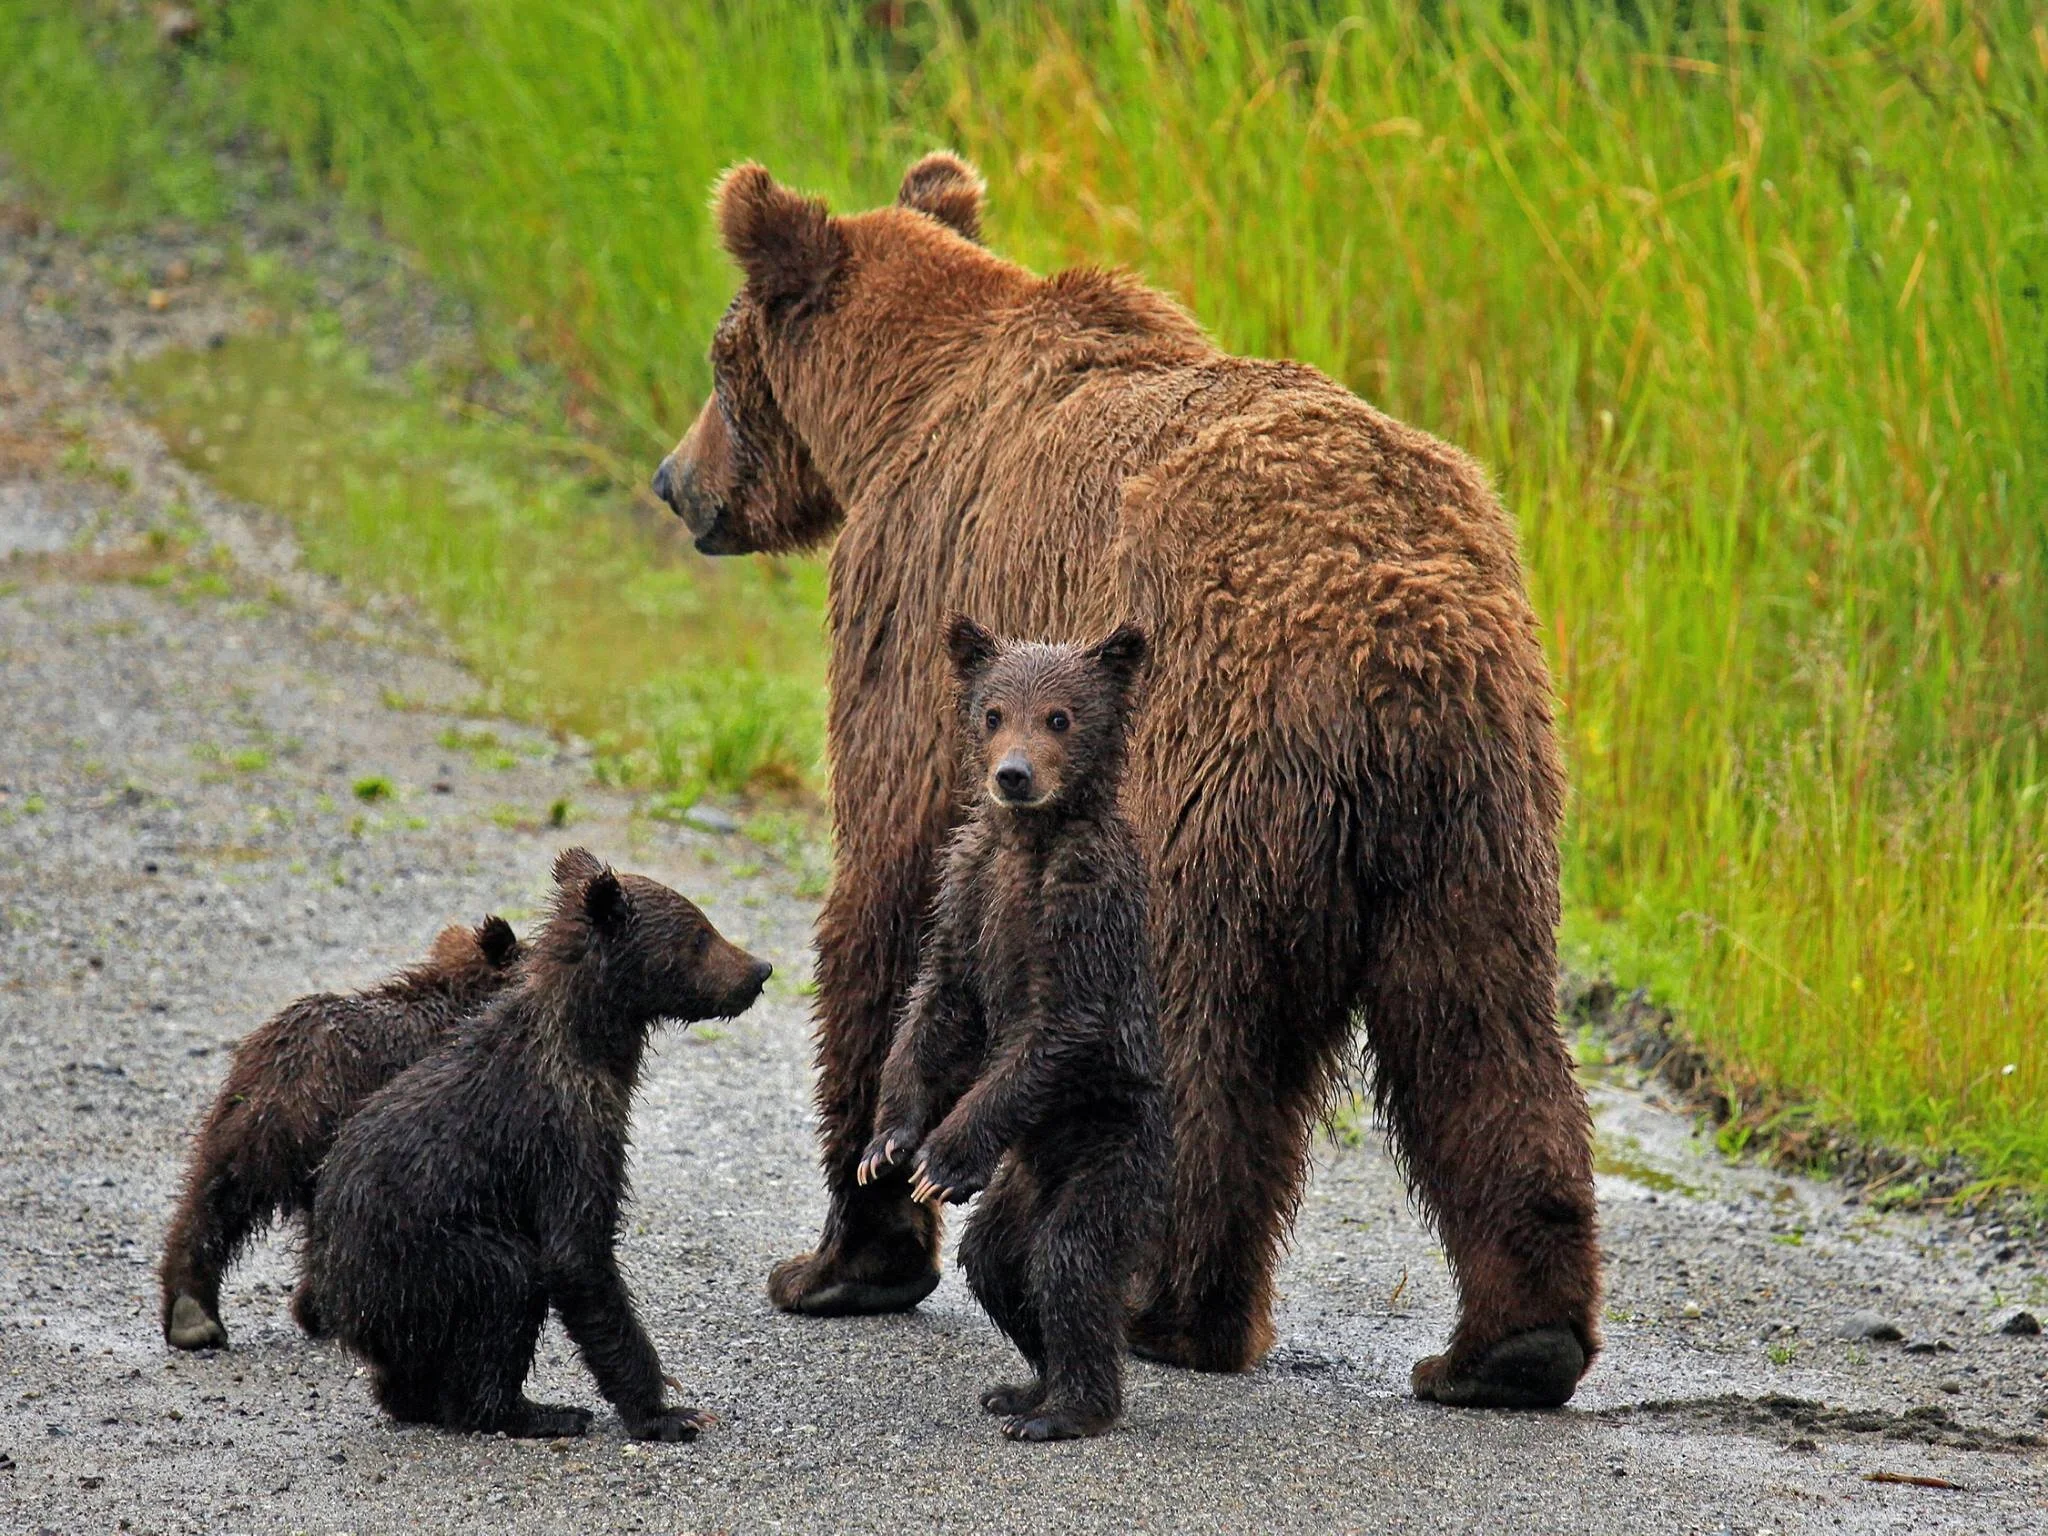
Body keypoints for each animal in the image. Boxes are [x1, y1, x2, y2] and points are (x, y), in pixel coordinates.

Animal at [303, 849, 771, 1439]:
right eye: (699, 935)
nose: (759, 970)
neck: (590, 1048)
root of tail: (341, 1303)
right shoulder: (563, 1135)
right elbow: (577, 1259)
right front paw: (666, 1412)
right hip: (417, 1262)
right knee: (507, 1279)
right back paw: (533, 1411)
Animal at [858, 617, 1167, 1441]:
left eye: (1060, 717)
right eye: (994, 712)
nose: (1014, 776)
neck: (1032, 841)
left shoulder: (1084, 904)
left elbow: (1058, 1026)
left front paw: (941, 1156)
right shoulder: (968, 886)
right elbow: (939, 1005)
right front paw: (887, 1144)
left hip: (1113, 1151)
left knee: (1068, 1259)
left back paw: (1068, 1410)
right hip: (1019, 1182)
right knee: (996, 1263)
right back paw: (1025, 1388)